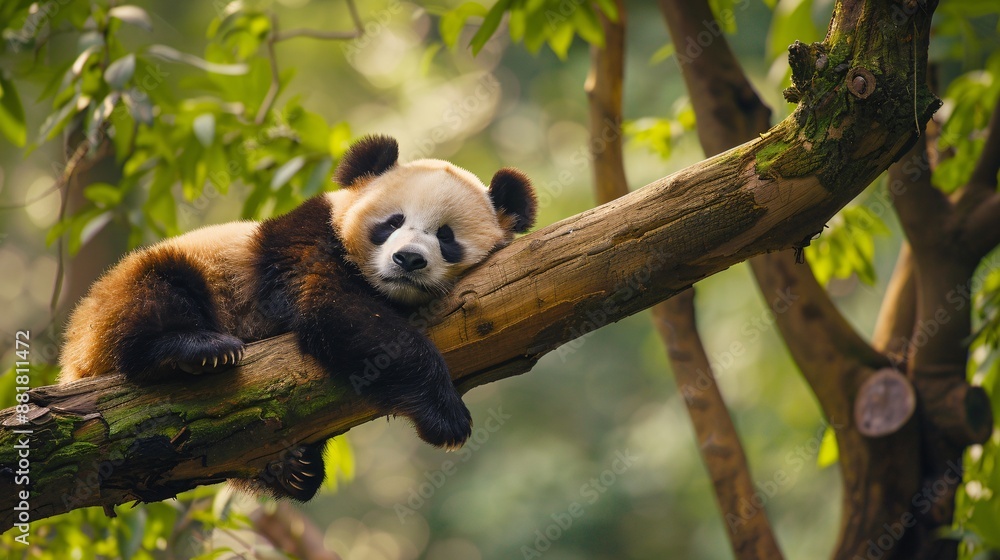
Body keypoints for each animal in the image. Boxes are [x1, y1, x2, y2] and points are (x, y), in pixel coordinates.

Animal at [58, 134, 536, 501]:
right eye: (392, 222)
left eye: (446, 236)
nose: (408, 259)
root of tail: (73, 365)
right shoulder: (309, 241)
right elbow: (337, 313)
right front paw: (446, 416)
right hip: (124, 298)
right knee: (151, 295)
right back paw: (195, 350)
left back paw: (294, 469)